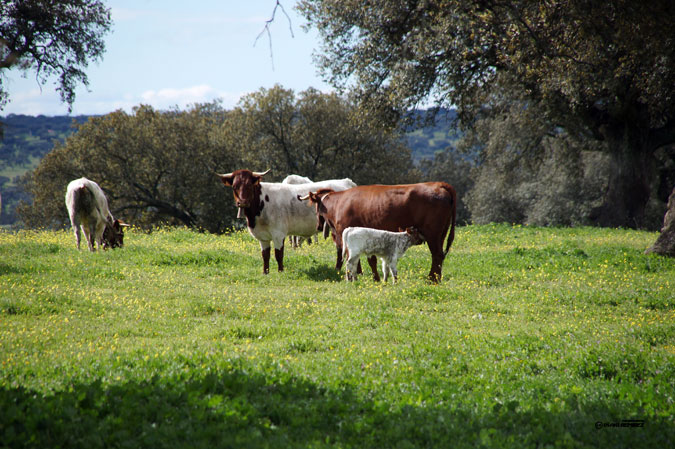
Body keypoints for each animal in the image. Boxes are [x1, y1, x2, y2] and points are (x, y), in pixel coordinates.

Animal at [302, 183, 456, 282]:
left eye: (315, 206)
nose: (318, 226)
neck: (339, 204)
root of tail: (439, 185)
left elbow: (355, 259)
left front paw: (358, 275)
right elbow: (370, 260)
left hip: (433, 235)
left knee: (436, 255)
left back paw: (432, 279)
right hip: (441, 235)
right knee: (439, 256)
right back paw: (436, 278)